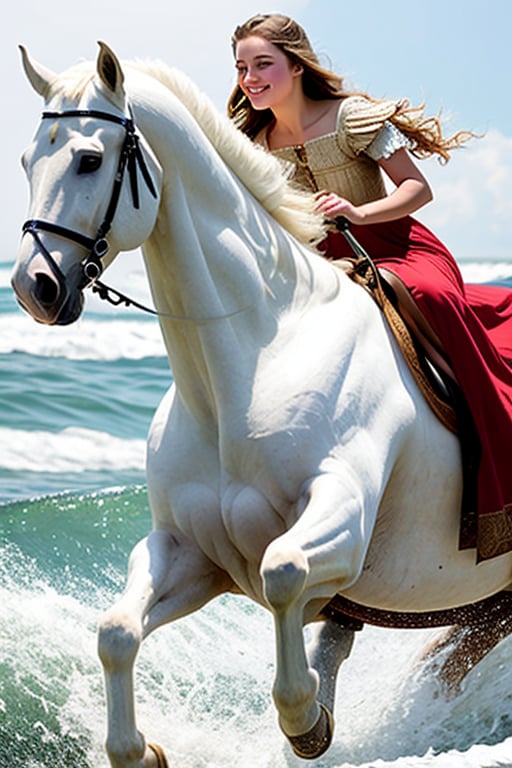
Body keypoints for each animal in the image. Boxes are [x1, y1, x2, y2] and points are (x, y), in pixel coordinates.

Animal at [10, 43, 512, 768]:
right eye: (28, 161)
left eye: (88, 159)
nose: (35, 288)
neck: (252, 358)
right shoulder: (188, 553)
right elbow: (116, 631)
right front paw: (140, 750)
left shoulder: (340, 517)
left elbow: (283, 575)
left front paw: (306, 719)